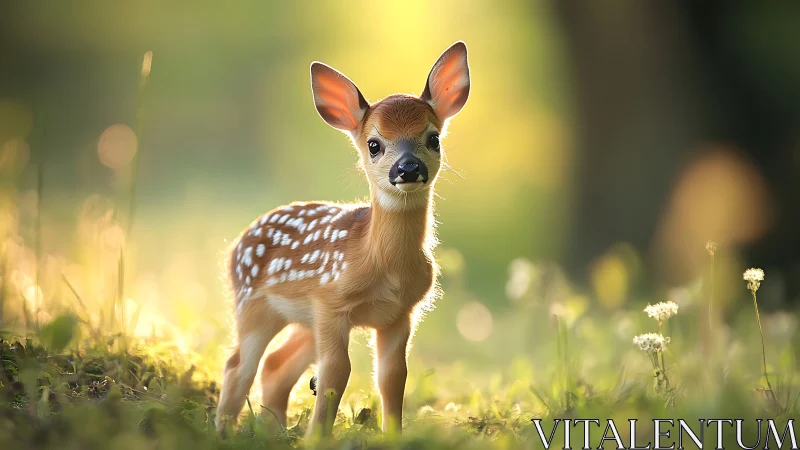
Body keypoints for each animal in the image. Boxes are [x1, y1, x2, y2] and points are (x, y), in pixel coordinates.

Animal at [215, 41, 470, 438]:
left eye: (433, 138)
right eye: (374, 144)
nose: (408, 168)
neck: (381, 263)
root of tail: (235, 245)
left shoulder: (399, 312)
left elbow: (393, 376)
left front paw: (393, 437)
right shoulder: (331, 302)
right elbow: (337, 373)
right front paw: (316, 439)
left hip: (303, 319)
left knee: (274, 365)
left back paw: (274, 431)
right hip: (253, 304)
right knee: (238, 364)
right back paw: (225, 431)